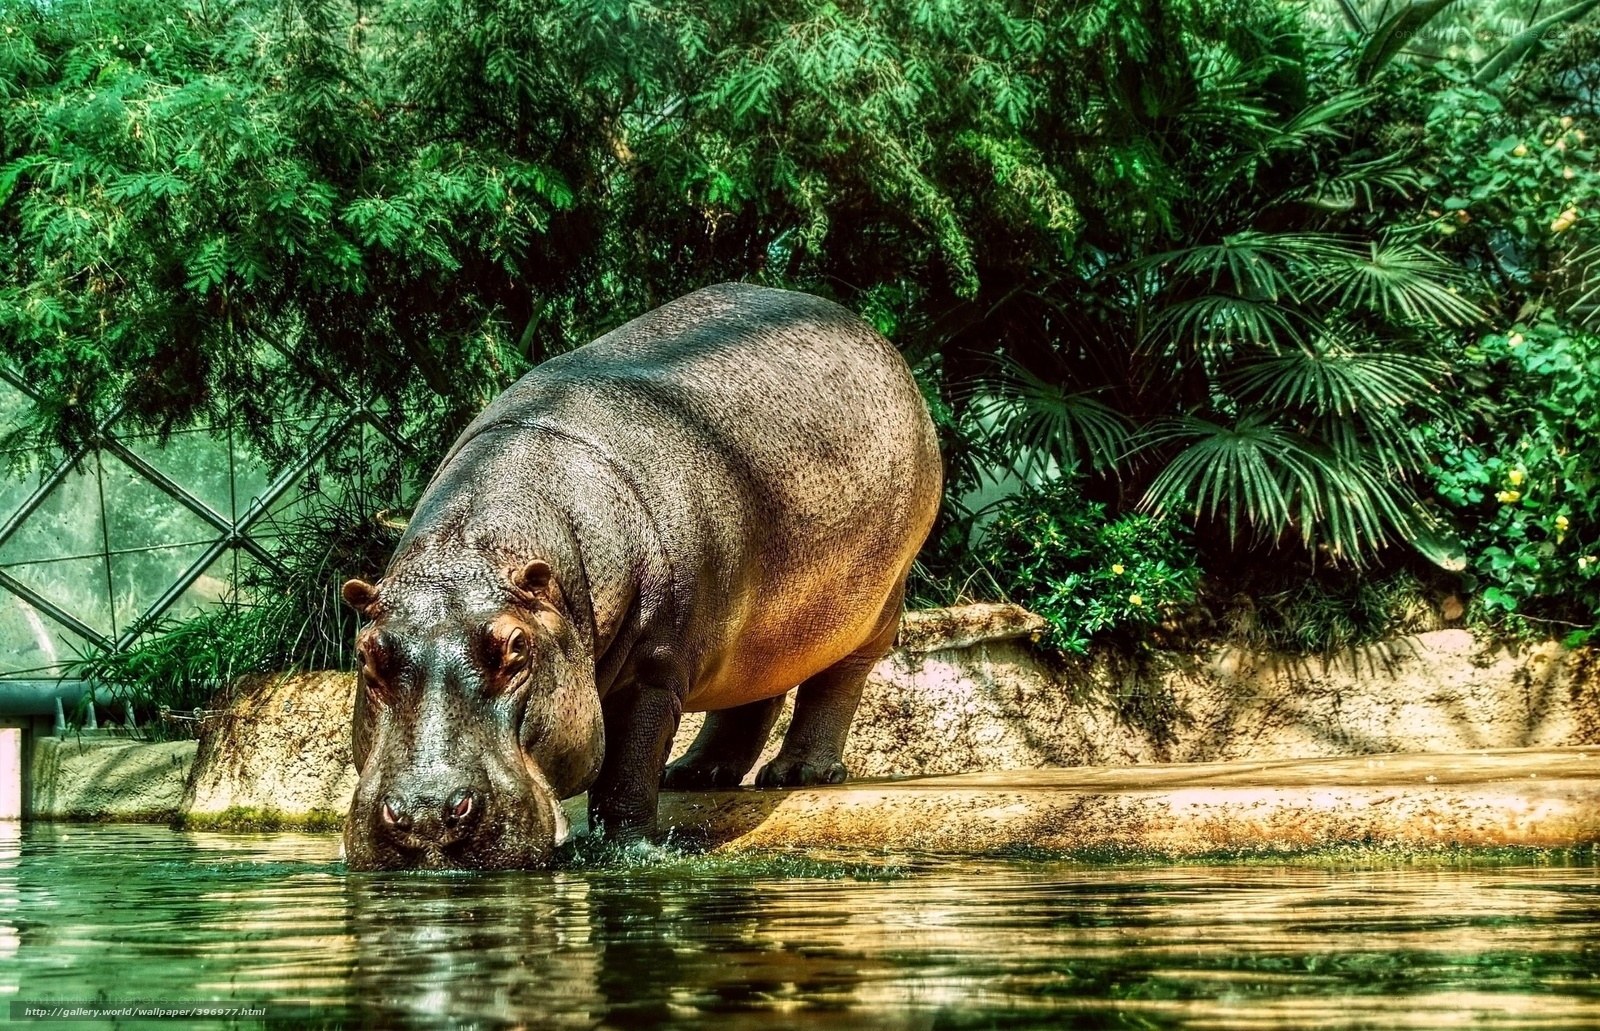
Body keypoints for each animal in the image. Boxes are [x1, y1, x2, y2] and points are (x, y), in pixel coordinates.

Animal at [339, 282, 942, 870]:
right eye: (367, 653)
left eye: (516, 647)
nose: (427, 815)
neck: (477, 551)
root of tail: (869, 334)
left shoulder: (654, 670)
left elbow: (628, 769)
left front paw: (625, 850)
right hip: (761, 624)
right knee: (756, 692)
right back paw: (695, 775)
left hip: (877, 601)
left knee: (838, 679)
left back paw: (798, 773)